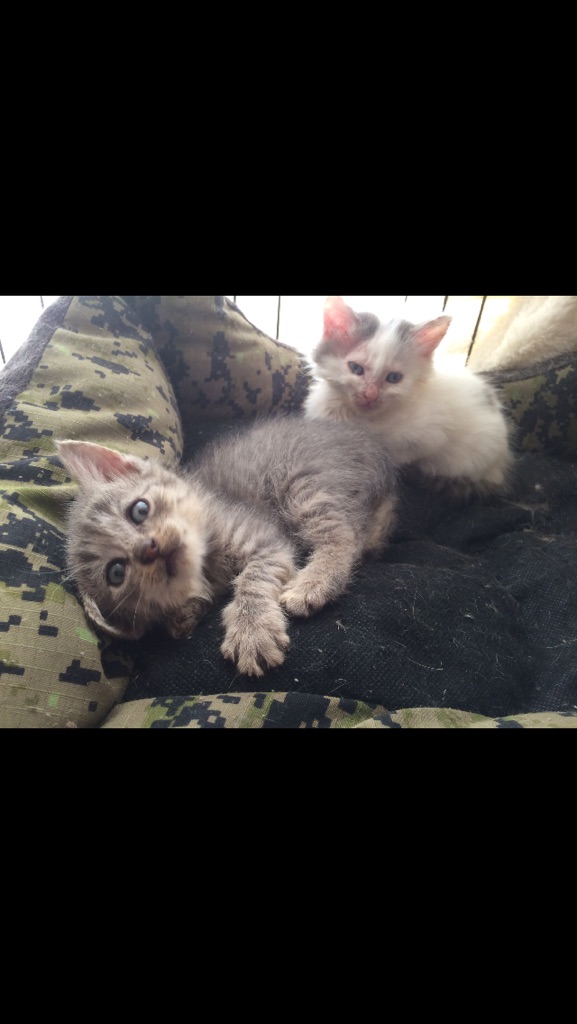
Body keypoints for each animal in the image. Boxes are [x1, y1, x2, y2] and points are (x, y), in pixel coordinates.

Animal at [55, 415, 397, 677]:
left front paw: (252, 631)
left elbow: (253, 579)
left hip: (301, 482)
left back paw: (313, 584)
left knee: (343, 535)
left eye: (139, 510)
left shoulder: (265, 540)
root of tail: (369, 441)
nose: (148, 548)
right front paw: (185, 614)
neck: (207, 563)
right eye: (116, 573)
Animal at [304, 296, 514, 497]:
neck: (360, 418)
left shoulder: (432, 433)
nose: (370, 395)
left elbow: (402, 454)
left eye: (394, 378)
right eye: (356, 368)